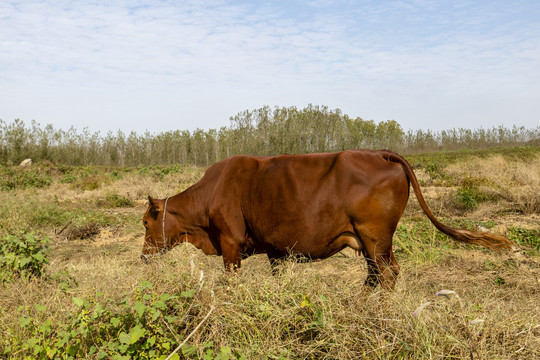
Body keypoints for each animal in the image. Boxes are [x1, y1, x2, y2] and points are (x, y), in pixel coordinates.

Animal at [143, 150, 516, 290]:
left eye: (146, 223)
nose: (144, 255)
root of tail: (380, 153)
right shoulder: (276, 250)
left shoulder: (231, 244)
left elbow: (231, 282)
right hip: (371, 242)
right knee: (378, 274)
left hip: (375, 237)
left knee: (386, 274)